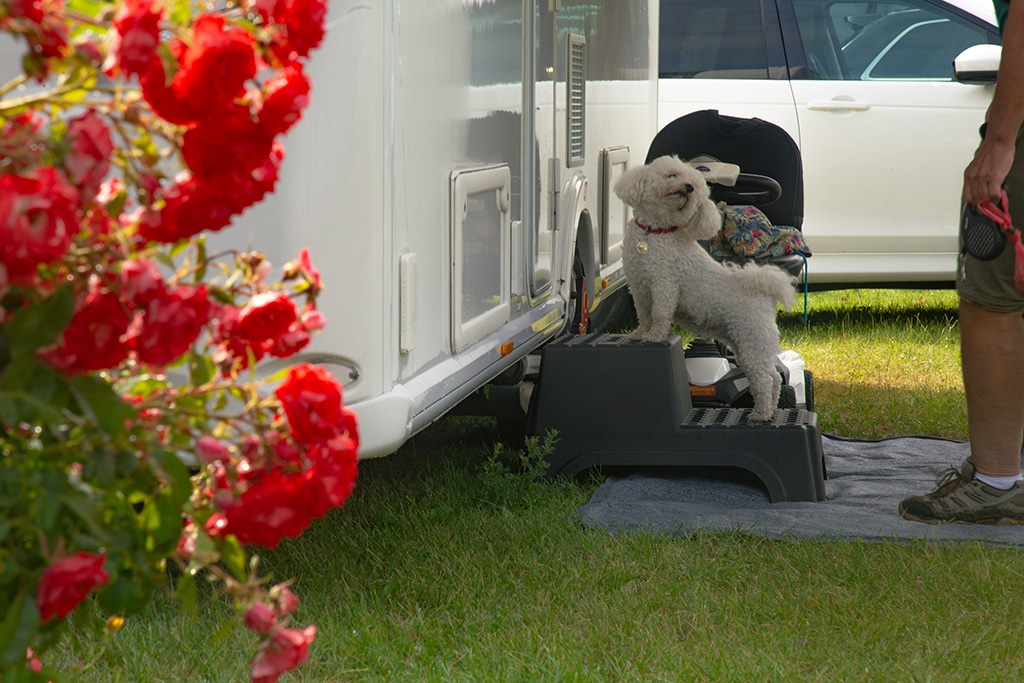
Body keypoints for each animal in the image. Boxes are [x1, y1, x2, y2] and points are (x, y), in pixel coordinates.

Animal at [610, 156, 794, 421]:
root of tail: (765, 296)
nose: (688, 188)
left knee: (764, 380)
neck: (655, 232)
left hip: (752, 341)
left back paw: (760, 414)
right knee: (773, 377)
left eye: (695, 187)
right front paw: (640, 333)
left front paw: (655, 336)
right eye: (673, 175)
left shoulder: (663, 284)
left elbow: (660, 314)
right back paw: (769, 411)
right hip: (748, 344)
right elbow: (644, 314)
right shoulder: (639, 286)